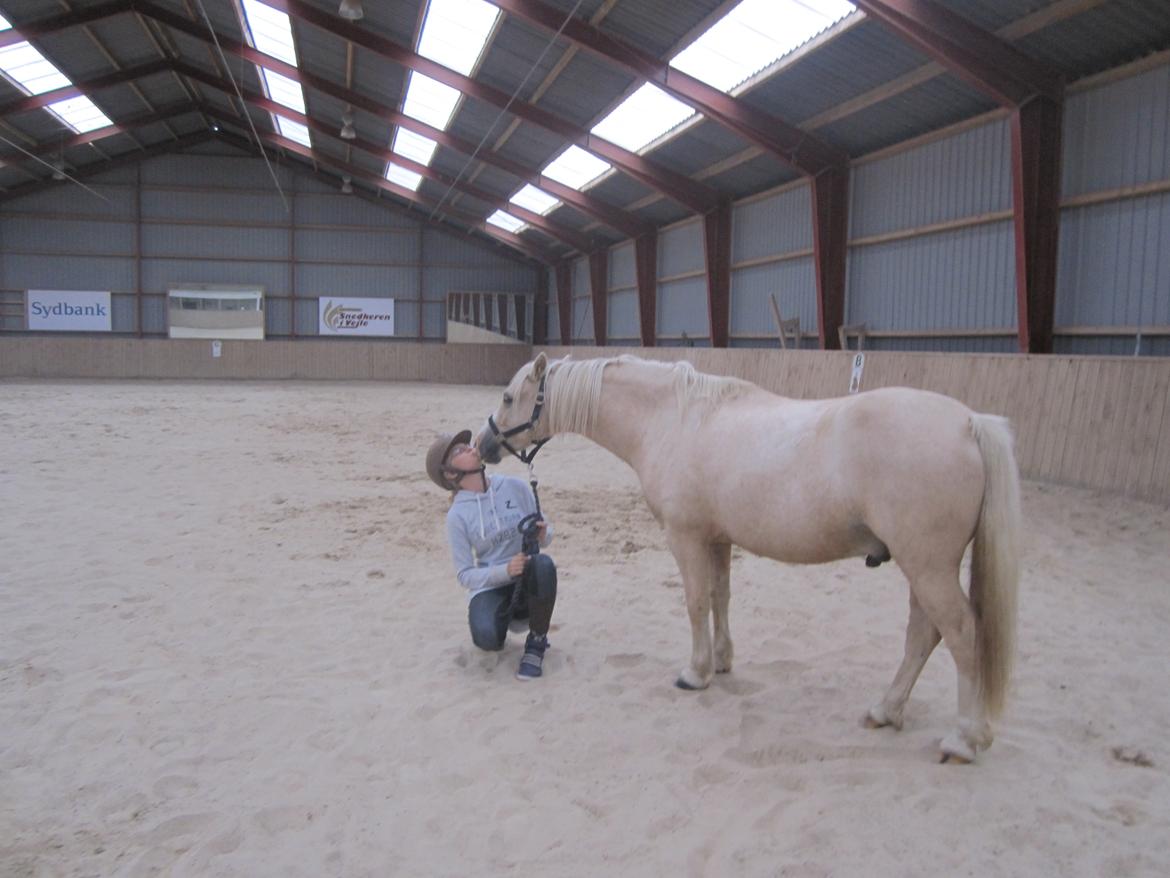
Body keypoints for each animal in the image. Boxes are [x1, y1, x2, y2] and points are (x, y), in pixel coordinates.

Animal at [477, 353, 1021, 763]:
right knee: (922, 636)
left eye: (508, 397)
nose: (483, 445)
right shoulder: (718, 540)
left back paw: (964, 740)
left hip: (927, 566)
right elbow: (721, 597)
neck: (673, 420)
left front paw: (695, 673)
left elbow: (696, 601)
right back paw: (886, 712)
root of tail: (969, 423)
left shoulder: (687, 538)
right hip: (921, 567)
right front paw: (721, 662)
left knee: (961, 634)